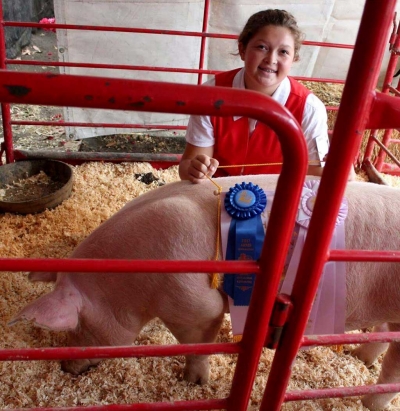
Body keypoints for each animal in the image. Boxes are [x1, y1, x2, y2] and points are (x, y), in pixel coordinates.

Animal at [7, 175, 400, 410]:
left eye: (77, 327)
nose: (64, 366)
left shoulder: (195, 304)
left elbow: (196, 343)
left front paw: (193, 382)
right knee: (381, 334)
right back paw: (359, 357)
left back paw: (370, 402)